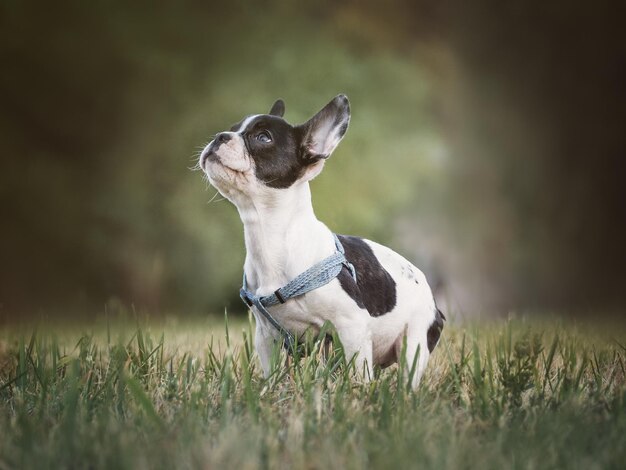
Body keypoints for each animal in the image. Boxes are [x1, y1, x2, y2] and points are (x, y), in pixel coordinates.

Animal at [200, 94, 444, 386]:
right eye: (232, 128)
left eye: (263, 137)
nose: (219, 136)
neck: (271, 234)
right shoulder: (266, 337)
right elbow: (272, 372)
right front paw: (269, 390)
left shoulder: (352, 325)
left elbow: (358, 374)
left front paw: (357, 394)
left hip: (414, 340)